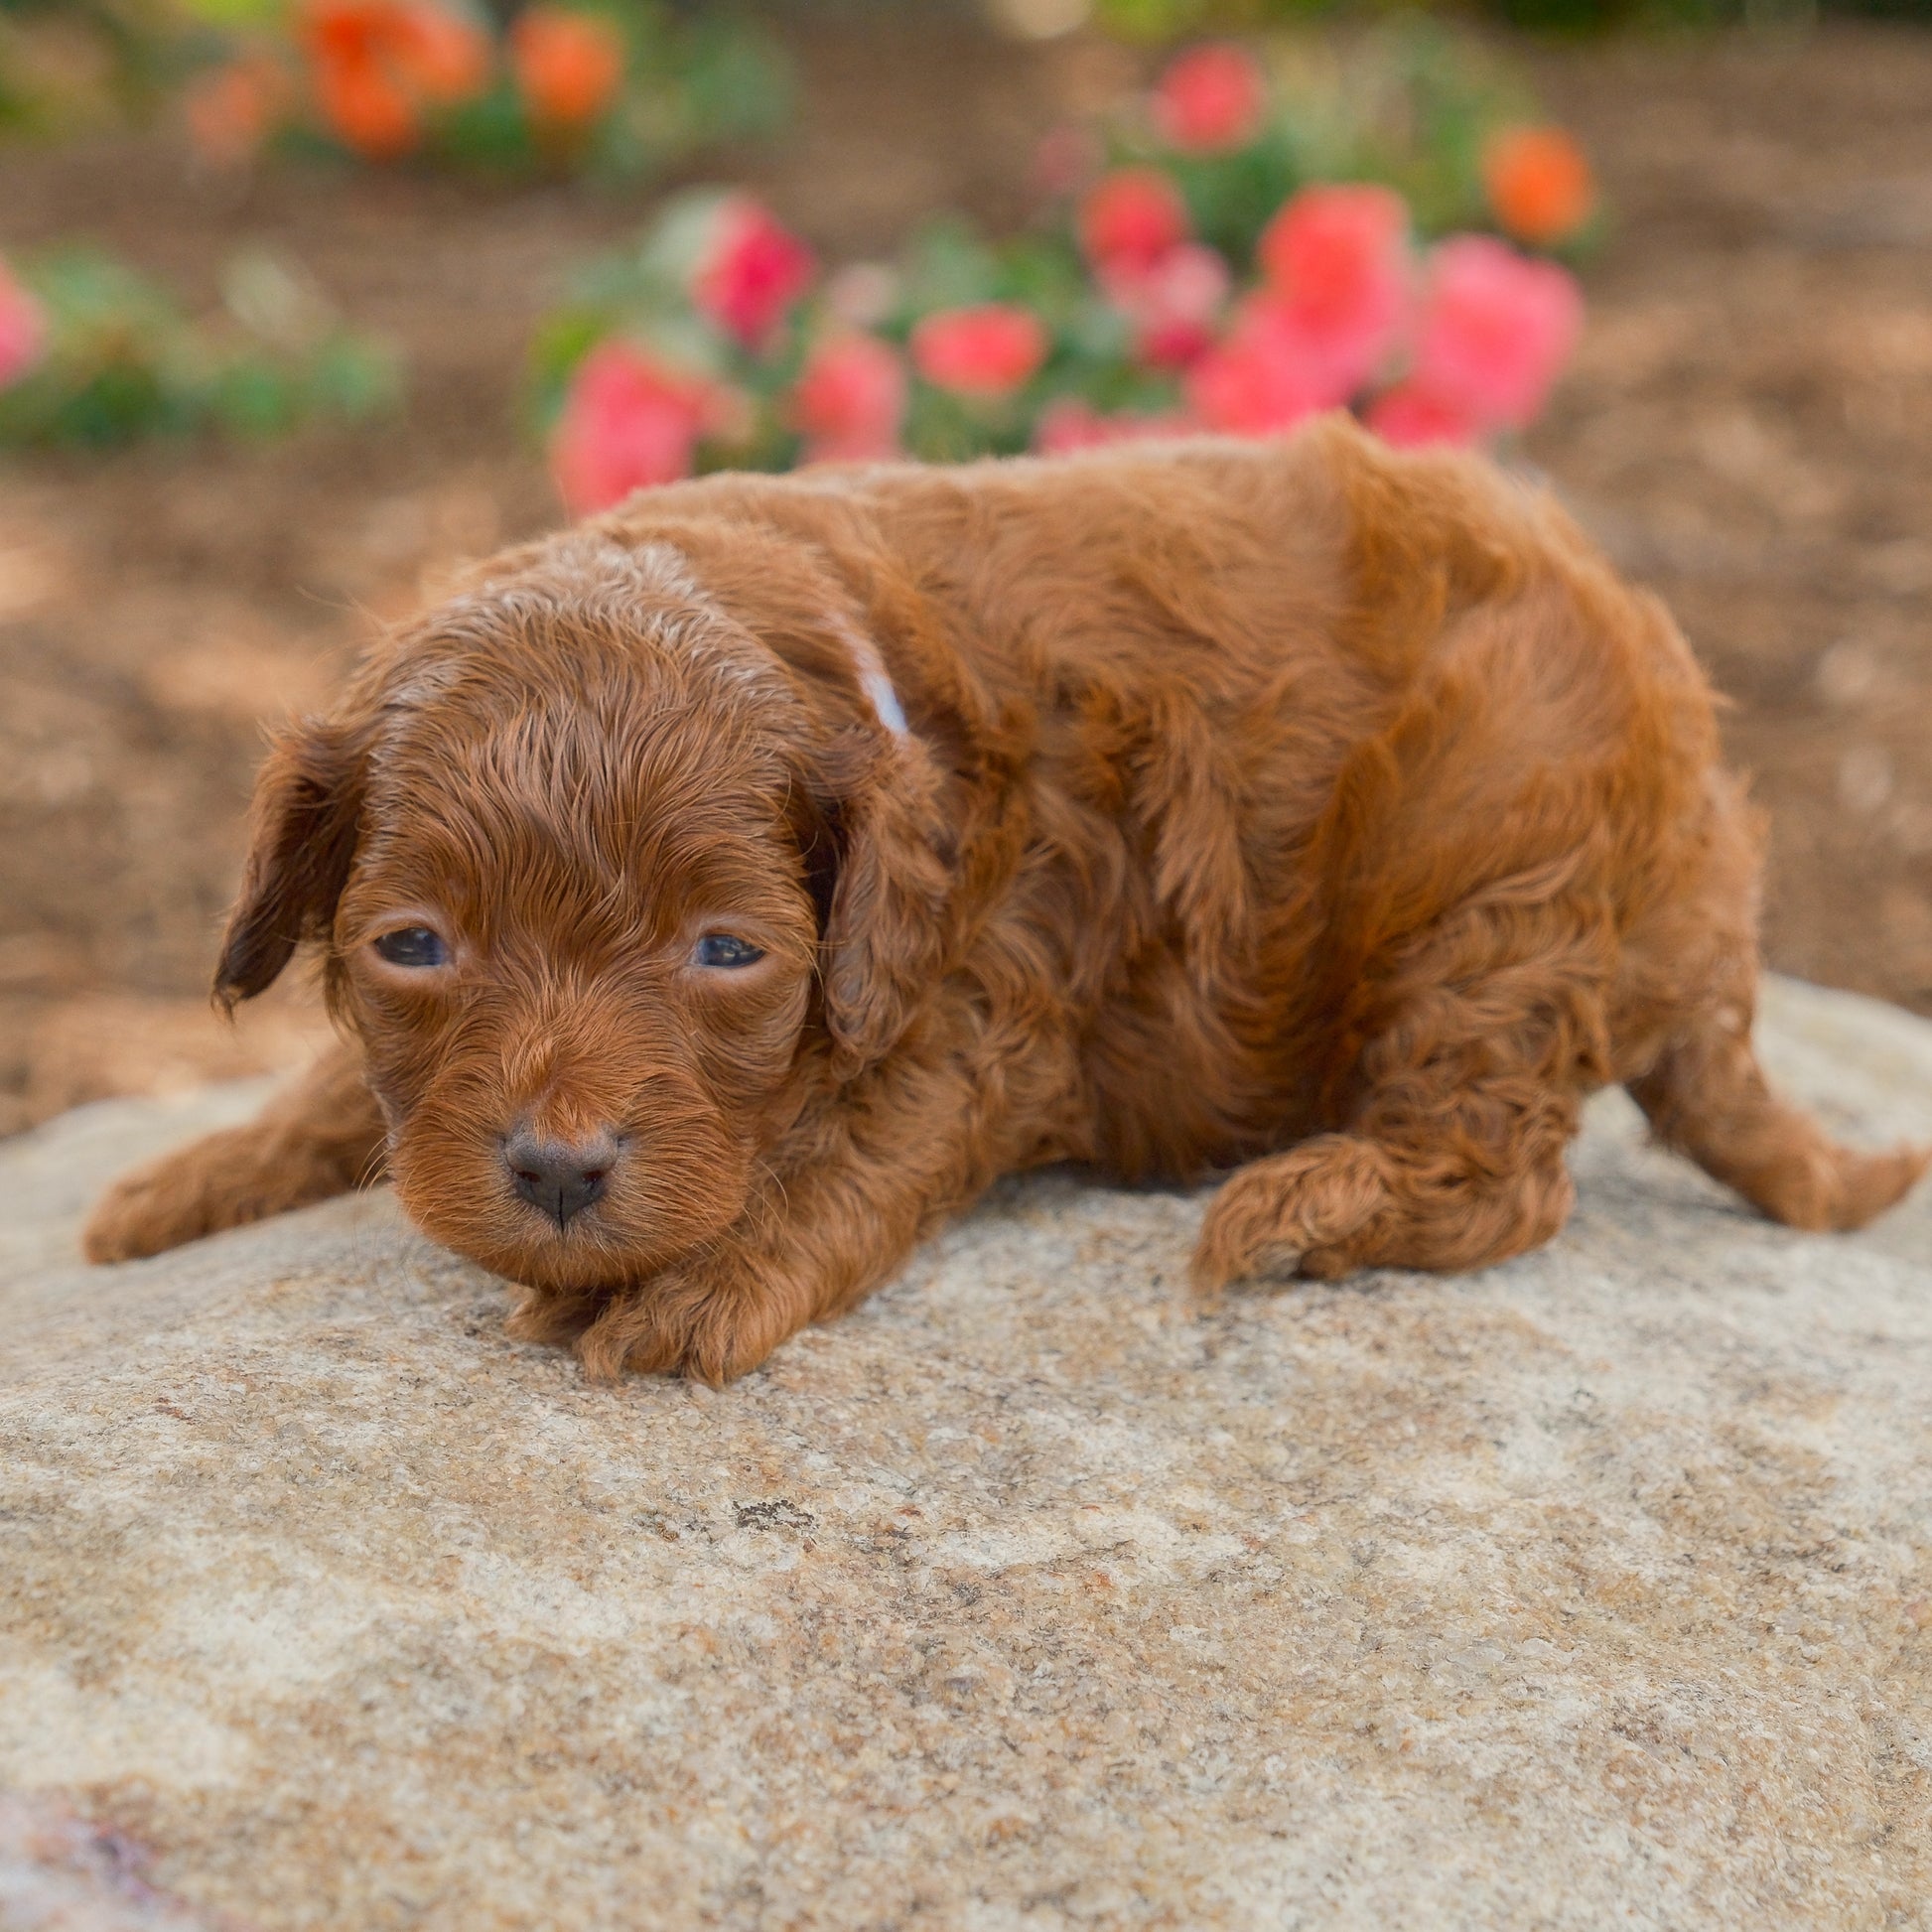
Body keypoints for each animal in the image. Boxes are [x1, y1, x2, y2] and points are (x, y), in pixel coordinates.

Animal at [82, 427, 1924, 1391]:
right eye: (412, 946)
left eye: (728, 952)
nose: (553, 1170)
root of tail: (1712, 881)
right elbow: (330, 1086)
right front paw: (183, 1179)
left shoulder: (990, 982)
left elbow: (867, 1138)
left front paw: (692, 1284)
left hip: (1503, 885)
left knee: (1509, 1166)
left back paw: (1312, 1208)